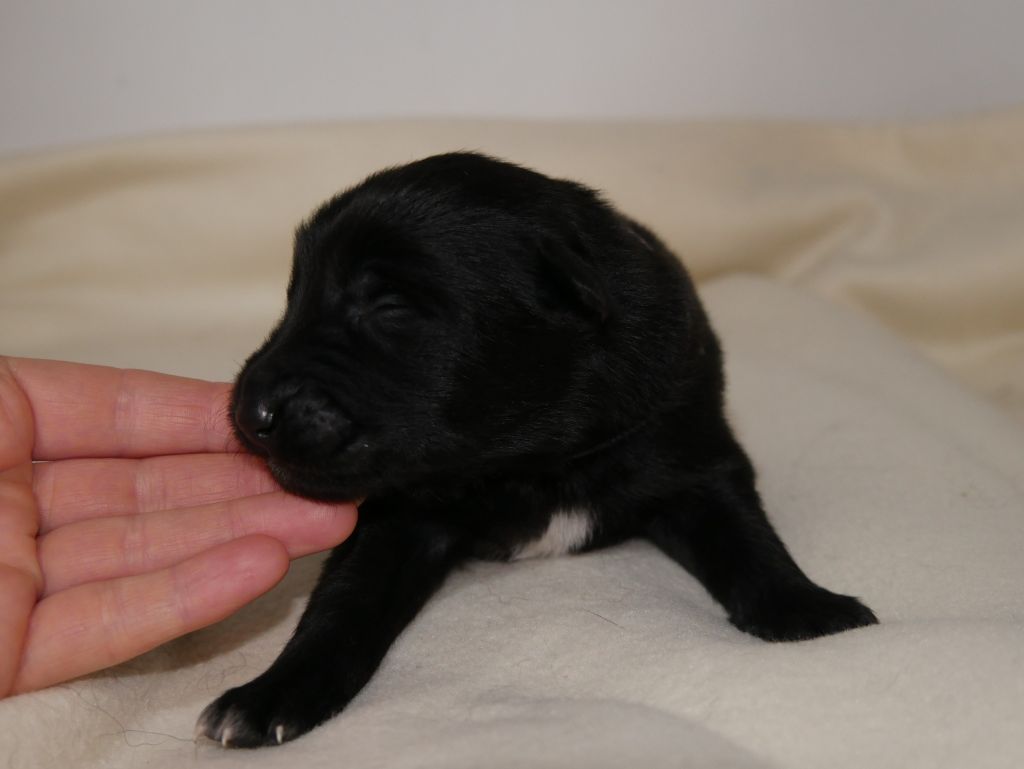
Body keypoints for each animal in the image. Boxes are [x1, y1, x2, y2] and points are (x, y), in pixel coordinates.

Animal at [197, 152, 877, 748]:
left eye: (387, 307)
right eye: (294, 297)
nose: (249, 412)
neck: (526, 462)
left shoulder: (689, 444)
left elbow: (745, 535)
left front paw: (807, 609)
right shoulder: (396, 516)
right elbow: (344, 604)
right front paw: (270, 696)